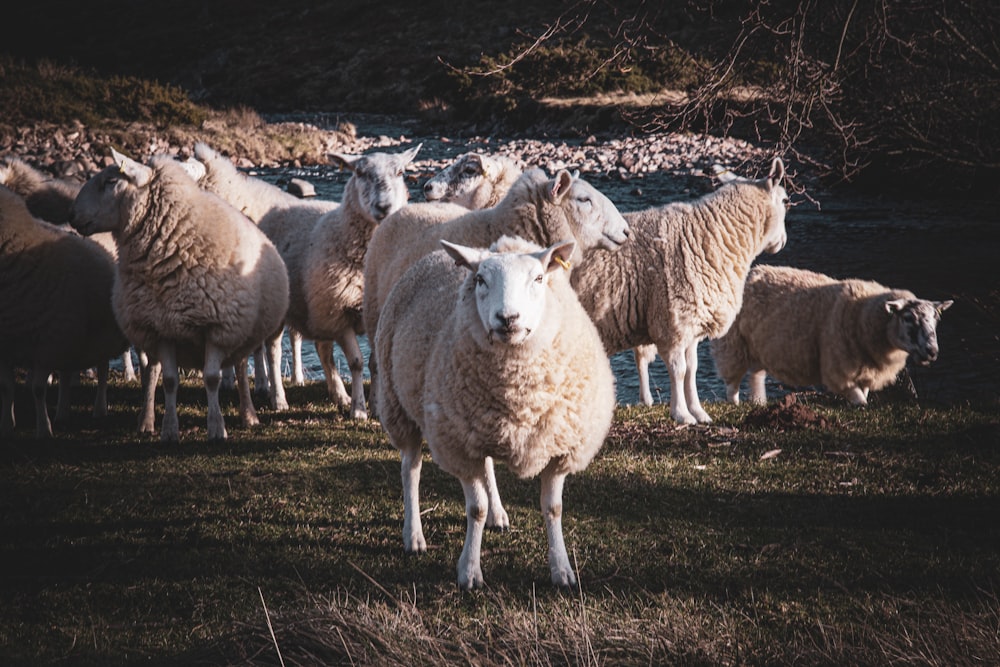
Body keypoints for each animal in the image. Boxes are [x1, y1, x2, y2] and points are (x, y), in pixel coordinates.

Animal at [0, 185, 129, 440]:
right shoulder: (8, 345)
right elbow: (8, 388)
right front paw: (8, 426)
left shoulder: (48, 342)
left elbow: (38, 389)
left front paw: (43, 429)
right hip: (74, 336)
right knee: (69, 372)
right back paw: (63, 412)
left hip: (96, 334)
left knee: (102, 370)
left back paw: (99, 408)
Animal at [69, 151, 290, 444]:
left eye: (111, 181)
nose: (72, 215)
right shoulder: (161, 329)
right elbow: (169, 381)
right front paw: (169, 429)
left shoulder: (217, 327)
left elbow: (211, 378)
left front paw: (217, 428)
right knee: (152, 371)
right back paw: (146, 420)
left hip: (241, 330)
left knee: (241, 368)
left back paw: (249, 416)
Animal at [376, 236, 616, 588]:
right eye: (481, 280)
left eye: (539, 278)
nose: (508, 318)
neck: (518, 395)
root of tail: (434, 255)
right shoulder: (459, 447)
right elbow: (474, 509)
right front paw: (469, 571)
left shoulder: (560, 446)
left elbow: (554, 508)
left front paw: (561, 568)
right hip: (399, 406)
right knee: (411, 469)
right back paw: (414, 535)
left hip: (479, 425)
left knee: (487, 465)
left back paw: (498, 514)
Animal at [572, 158, 788, 422]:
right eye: (785, 200)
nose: (783, 242)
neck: (712, 234)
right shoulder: (672, 320)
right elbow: (678, 369)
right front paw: (681, 414)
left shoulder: (692, 322)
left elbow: (692, 369)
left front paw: (698, 411)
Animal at [712, 266, 952, 408]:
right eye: (908, 318)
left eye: (935, 319)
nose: (932, 352)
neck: (863, 313)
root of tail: (752, 271)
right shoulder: (838, 370)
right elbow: (861, 400)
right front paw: (860, 407)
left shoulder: (865, 369)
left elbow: (864, 394)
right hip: (732, 345)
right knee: (732, 383)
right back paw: (735, 404)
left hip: (759, 347)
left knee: (755, 375)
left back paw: (758, 402)